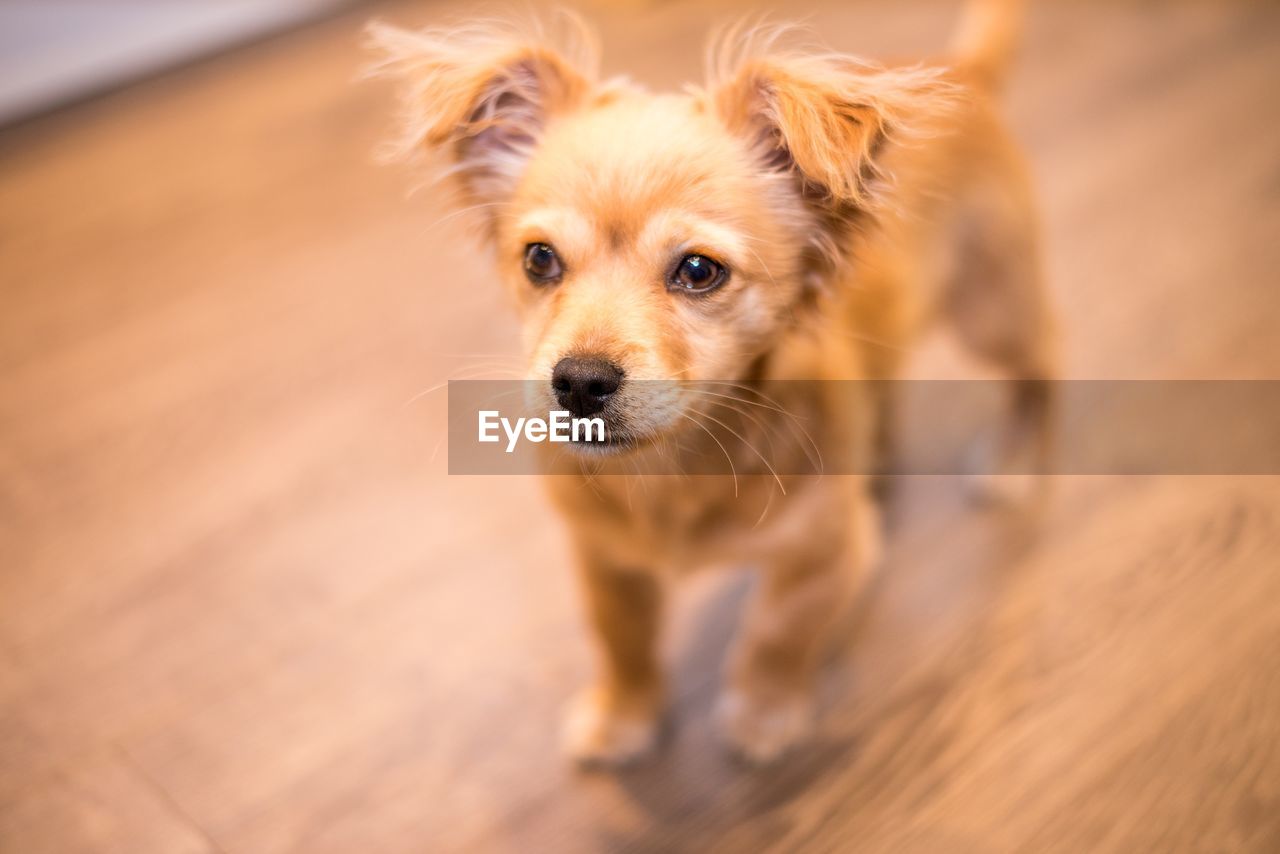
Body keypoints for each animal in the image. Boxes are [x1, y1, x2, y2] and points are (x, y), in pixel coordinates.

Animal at [366, 0, 1054, 763]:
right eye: (539, 260)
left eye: (699, 271)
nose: (578, 382)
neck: (671, 471)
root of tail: (962, 70)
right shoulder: (602, 559)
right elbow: (620, 635)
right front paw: (624, 713)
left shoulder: (828, 558)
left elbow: (777, 631)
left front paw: (763, 711)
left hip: (995, 310)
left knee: (1042, 371)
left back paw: (1017, 462)